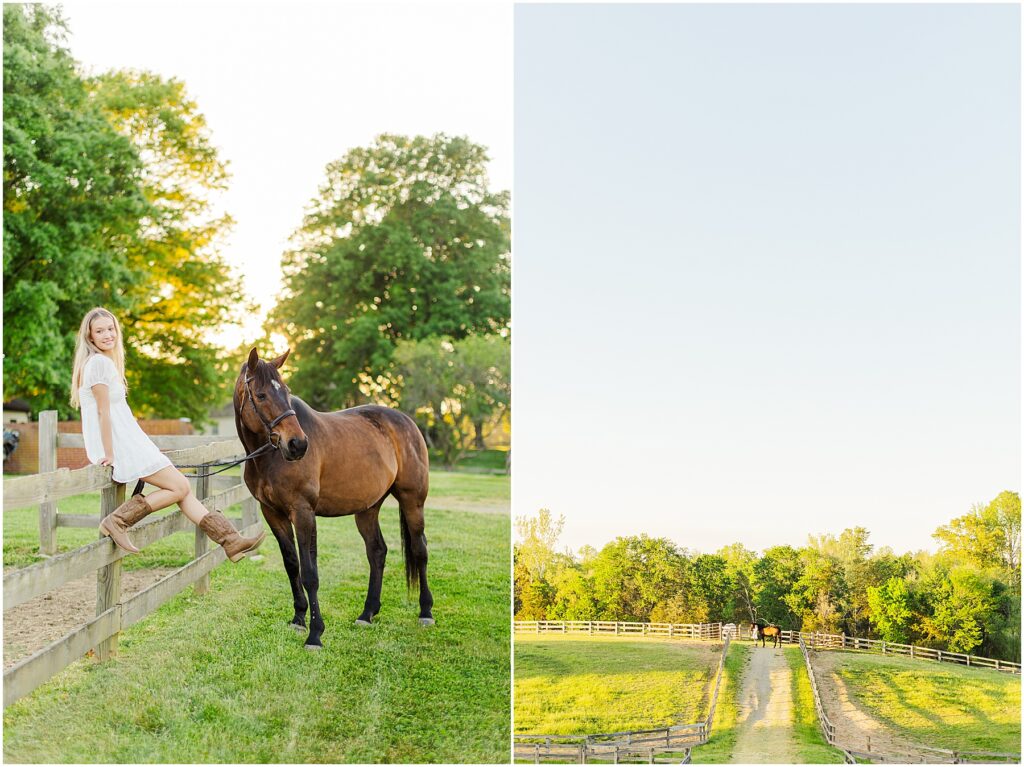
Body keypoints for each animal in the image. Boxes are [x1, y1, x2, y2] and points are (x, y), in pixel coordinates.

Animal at [234, 346, 434, 647]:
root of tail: (407, 422)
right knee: (377, 552)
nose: (298, 444)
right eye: (260, 395)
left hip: (413, 501)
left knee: (419, 550)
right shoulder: (273, 513)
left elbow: (310, 573)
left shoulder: (303, 512)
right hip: (368, 508)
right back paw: (367, 613)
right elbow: (292, 565)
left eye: (286, 391)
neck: (269, 458)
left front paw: (315, 634)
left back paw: (425, 612)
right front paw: (299, 619)